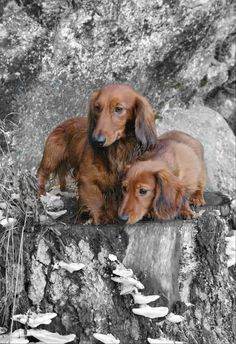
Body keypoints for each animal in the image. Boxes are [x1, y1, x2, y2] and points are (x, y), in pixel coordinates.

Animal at [37, 83, 157, 223]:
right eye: (97, 107)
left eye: (119, 109)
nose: (97, 140)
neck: (117, 149)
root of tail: (64, 122)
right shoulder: (87, 179)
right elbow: (96, 201)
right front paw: (101, 217)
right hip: (51, 158)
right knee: (41, 174)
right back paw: (41, 194)